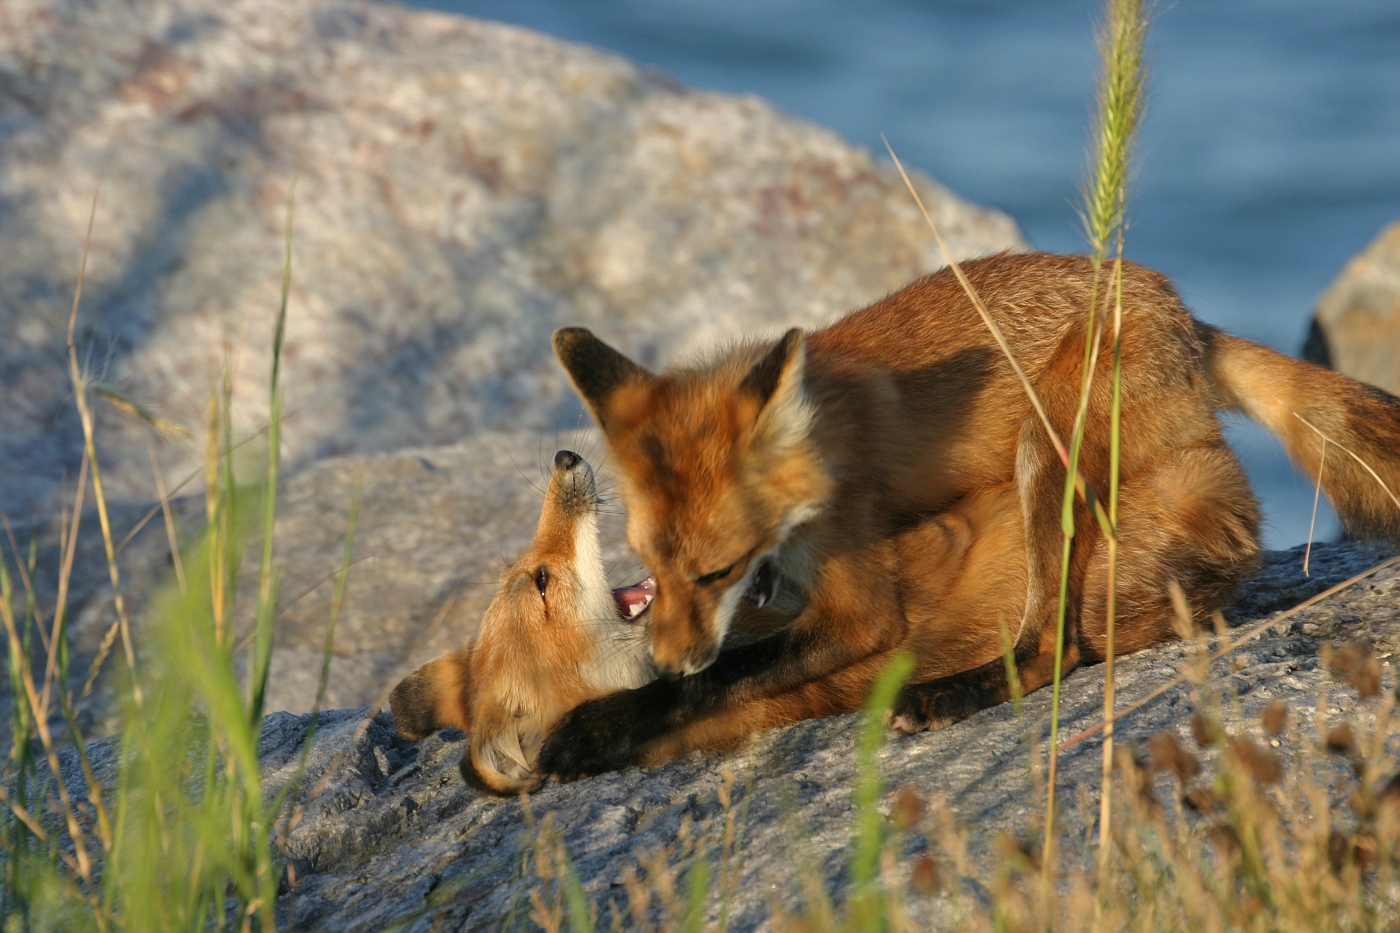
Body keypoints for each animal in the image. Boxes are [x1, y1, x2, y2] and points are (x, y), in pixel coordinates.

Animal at [534, 249, 1400, 778]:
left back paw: (956, 691)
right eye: (649, 565)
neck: (818, 451)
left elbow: (726, 676)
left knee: (1057, 644)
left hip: (1045, 449)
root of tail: (1184, 312)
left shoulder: (862, 607)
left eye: (716, 570)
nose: (669, 655)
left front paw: (603, 720)